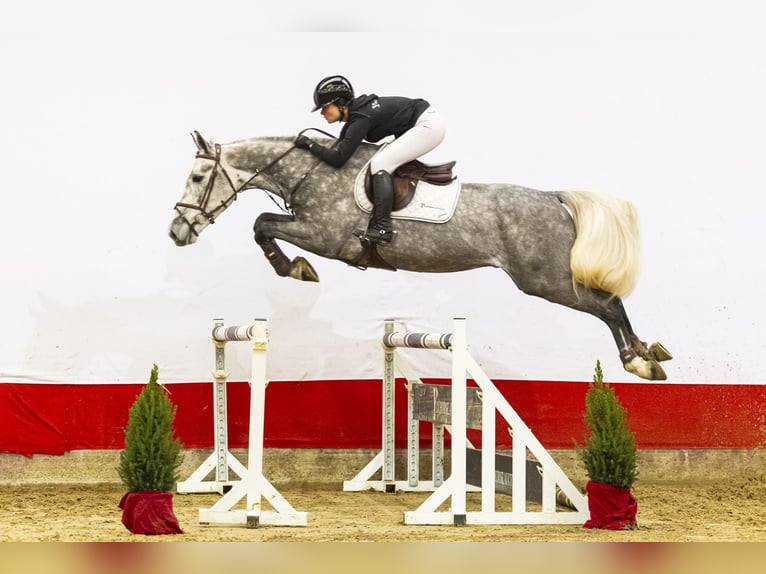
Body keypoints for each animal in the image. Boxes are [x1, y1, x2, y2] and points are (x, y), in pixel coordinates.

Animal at [169, 131, 672, 380]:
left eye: (197, 178)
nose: (176, 233)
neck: (314, 171)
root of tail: (551, 198)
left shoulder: (325, 236)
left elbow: (262, 224)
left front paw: (295, 268)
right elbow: (263, 224)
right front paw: (293, 267)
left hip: (544, 280)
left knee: (607, 304)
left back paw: (640, 361)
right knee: (608, 304)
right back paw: (650, 353)